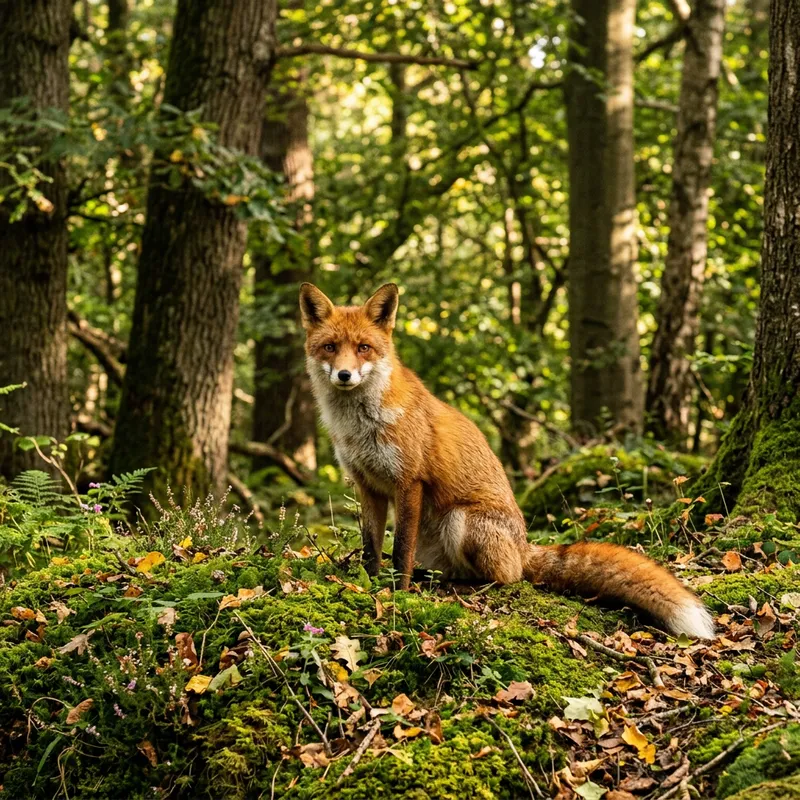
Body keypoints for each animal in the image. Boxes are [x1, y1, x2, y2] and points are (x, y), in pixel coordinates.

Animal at [299, 282, 715, 640]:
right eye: (331, 347)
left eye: (364, 347)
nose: (344, 375)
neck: (359, 425)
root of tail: (524, 545)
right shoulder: (368, 485)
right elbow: (370, 547)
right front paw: (367, 585)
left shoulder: (409, 482)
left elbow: (400, 549)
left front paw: (396, 593)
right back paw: (434, 578)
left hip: (460, 520)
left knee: (506, 577)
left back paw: (461, 585)